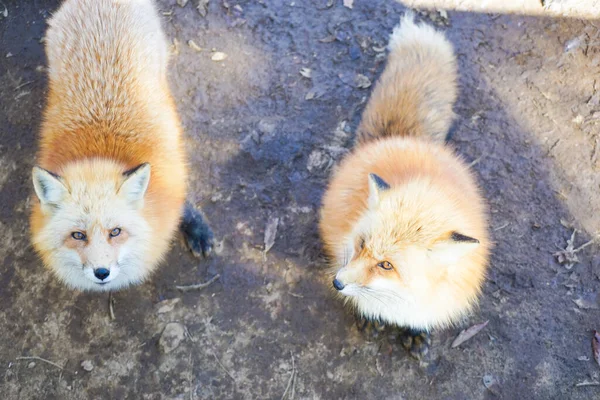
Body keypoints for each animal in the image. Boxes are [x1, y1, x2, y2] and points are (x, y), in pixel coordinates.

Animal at [30, 0, 214, 292]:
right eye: (78, 235)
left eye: (115, 232)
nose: (101, 272)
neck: (99, 151)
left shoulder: (174, 171)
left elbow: (185, 200)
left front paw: (197, 228)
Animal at [318, 13, 488, 360]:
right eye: (361, 244)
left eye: (386, 265)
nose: (337, 283)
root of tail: (404, 138)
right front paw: (367, 315)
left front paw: (417, 331)